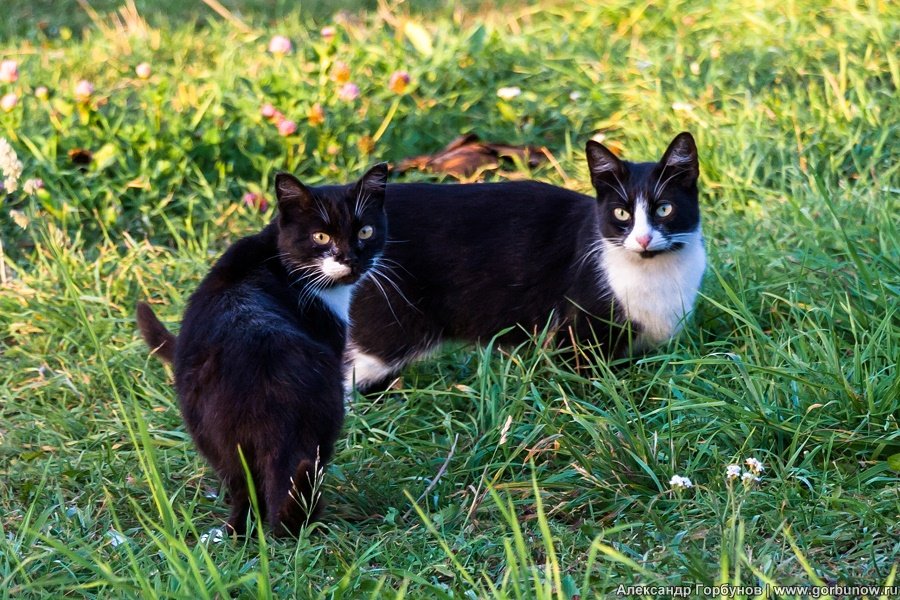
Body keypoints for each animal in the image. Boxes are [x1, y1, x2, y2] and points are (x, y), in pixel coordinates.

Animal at [136, 163, 386, 536]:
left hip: (207, 423)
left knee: (241, 484)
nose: (351, 259)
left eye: (366, 231)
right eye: (321, 237)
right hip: (323, 411)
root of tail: (266, 390)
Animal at [344, 133, 704, 392]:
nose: (643, 239)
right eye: (621, 214)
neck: (653, 273)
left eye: (664, 209)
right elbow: (581, 381)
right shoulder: (574, 330)